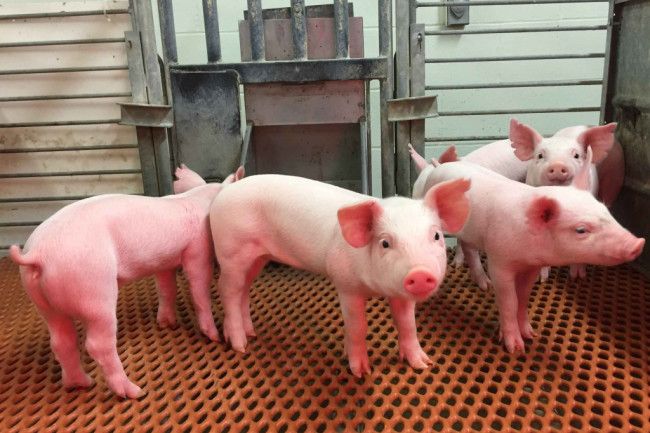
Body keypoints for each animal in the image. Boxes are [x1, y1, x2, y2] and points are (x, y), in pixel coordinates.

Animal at [8, 167, 242, 398]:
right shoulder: (197, 249)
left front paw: (167, 324)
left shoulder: (163, 262)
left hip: (43, 303)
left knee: (61, 342)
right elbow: (199, 289)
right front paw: (214, 337)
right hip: (95, 290)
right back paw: (134, 391)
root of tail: (39, 253)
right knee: (97, 345)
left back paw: (82, 383)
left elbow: (166, 289)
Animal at [209, 174, 471, 376]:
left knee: (243, 290)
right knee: (227, 290)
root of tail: (224, 192)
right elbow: (358, 326)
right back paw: (240, 346)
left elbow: (407, 324)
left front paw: (424, 364)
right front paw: (361, 372)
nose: (420, 273)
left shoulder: (400, 294)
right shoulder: (346, 285)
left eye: (436, 236)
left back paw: (250, 333)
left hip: (257, 258)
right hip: (231, 251)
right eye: (385, 243)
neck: (376, 288)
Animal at [411, 150, 644, 353]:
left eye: (605, 210)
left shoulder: (532, 266)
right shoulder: (499, 261)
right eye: (581, 229)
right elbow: (510, 301)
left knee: (469, 248)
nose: (638, 243)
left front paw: (531, 335)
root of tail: (439, 167)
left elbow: (523, 299)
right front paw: (515, 348)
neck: (526, 248)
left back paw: (485, 286)